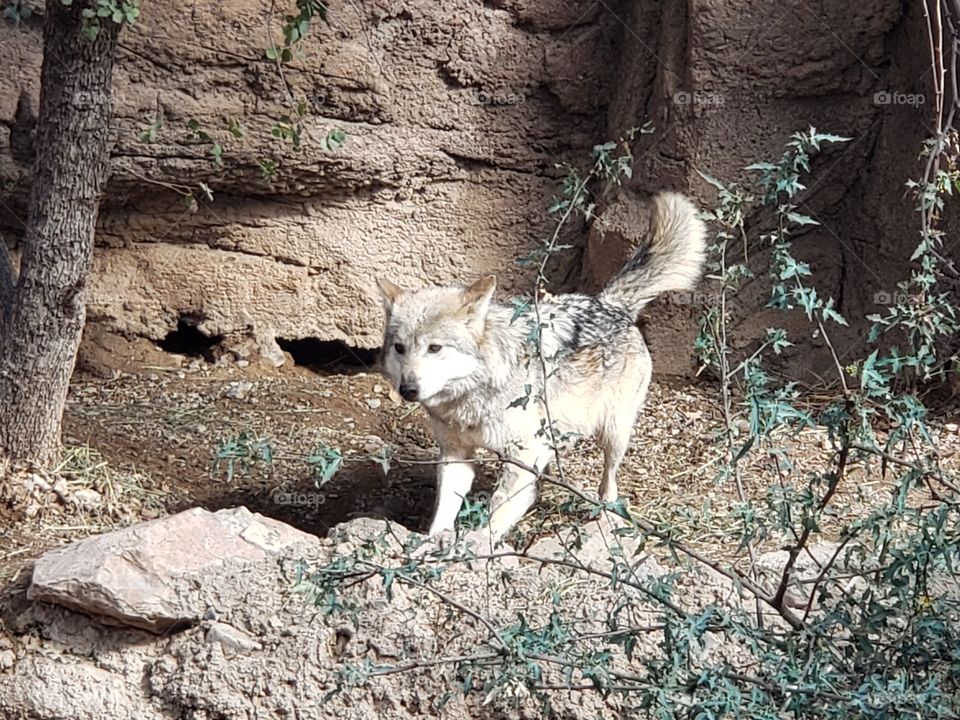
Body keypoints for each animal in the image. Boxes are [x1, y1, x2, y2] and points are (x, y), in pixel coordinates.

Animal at [378, 192, 707, 542]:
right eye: (400, 348)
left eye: (435, 348)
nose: (408, 390)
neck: (473, 397)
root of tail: (609, 303)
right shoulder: (455, 455)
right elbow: (444, 511)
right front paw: (432, 543)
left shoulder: (523, 453)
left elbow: (498, 508)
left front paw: (480, 543)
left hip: (614, 433)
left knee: (609, 478)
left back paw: (606, 511)